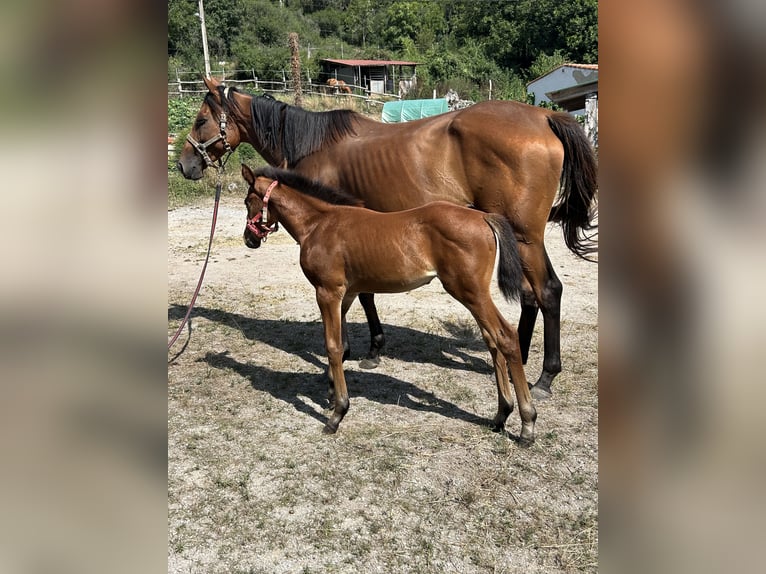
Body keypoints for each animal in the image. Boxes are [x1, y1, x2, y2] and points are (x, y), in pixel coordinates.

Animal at [177, 76, 598, 400]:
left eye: (200, 120)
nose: (184, 165)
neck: (314, 144)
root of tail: (544, 115)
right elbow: (365, 293)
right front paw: (374, 347)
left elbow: (359, 298)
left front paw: (359, 350)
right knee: (529, 296)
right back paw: (520, 359)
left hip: (526, 236)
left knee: (547, 292)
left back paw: (544, 377)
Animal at [241, 164, 537, 445]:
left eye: (247, 201)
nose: (249, 239)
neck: (319, 224)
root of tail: (483, 216)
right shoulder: (346, 294)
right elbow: (342, 345)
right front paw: (331, 394)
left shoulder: (327, 293)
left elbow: (332, 346)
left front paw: (337, 414)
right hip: (474, 295)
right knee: (492, 341)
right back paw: (500, 415)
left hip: (470, 292)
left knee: (505, 337)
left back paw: (527, 424)